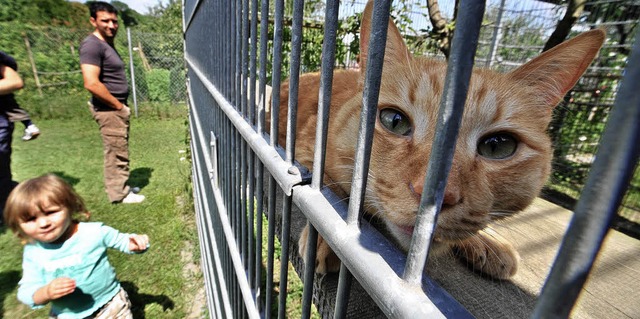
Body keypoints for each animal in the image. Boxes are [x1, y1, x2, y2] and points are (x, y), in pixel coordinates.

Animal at [276, 3, 604, 280]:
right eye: (394, 121)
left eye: (498, 146)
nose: (433, 199)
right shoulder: (305, 150)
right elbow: (331, 190)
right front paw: (327, 237)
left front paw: (488, 241)